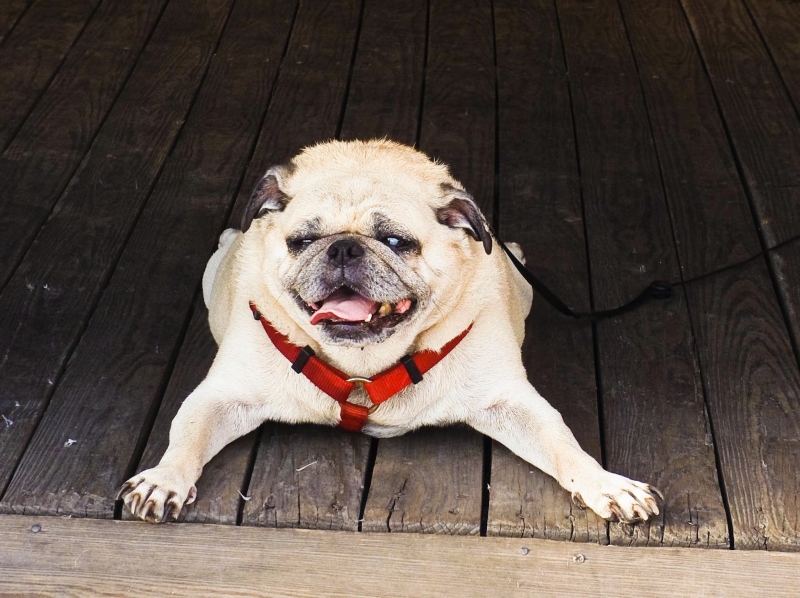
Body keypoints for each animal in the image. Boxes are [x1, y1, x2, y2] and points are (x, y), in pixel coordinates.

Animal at [117, 139, 656, 524]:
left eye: (396, 242)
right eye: (302, 241)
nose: (343, 248)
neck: (362, 366)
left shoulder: (509, 403)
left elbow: (563, 445)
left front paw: (605, 484)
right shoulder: (222, 397)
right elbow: (187, 436)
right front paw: (164, 478)